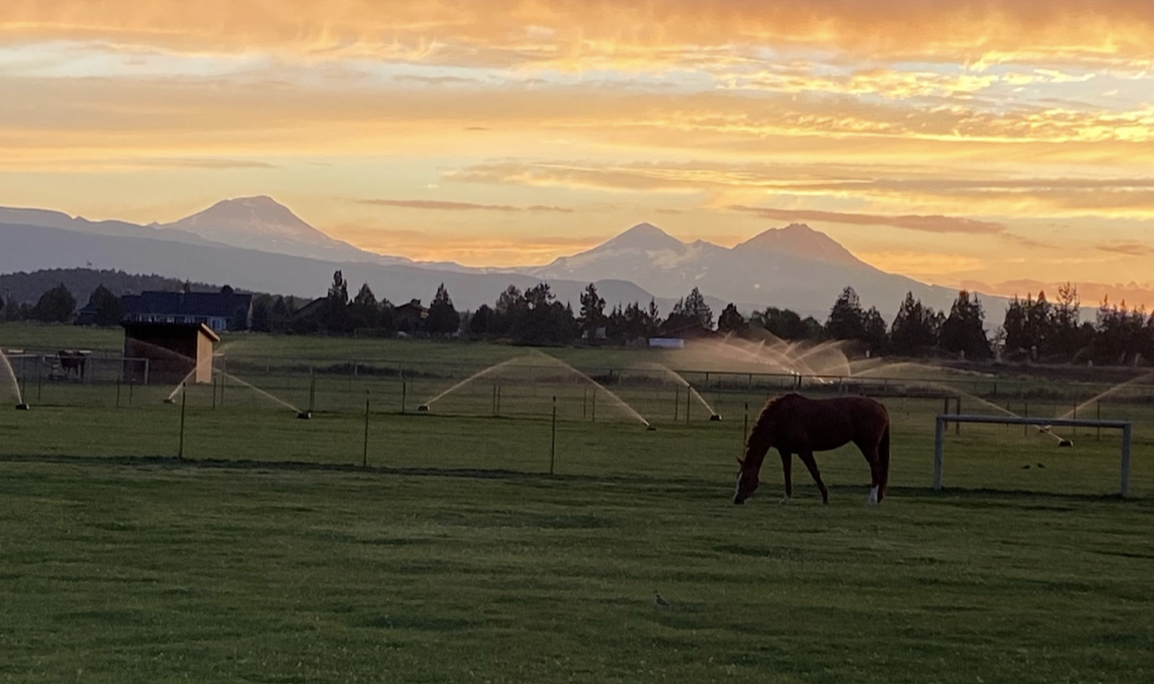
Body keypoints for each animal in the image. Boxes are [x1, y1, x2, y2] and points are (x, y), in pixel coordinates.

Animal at [733, 392, 886, 505]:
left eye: (746, 478)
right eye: (738, 477)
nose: (736, 500)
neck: (781, 417)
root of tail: (879, 405)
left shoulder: (804, 451)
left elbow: (815, 472)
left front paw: (825, 498)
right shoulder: (785, 451)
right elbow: (787, 473)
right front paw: (786, 499)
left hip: (867, 446)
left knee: (876, 468)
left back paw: (872, 499)